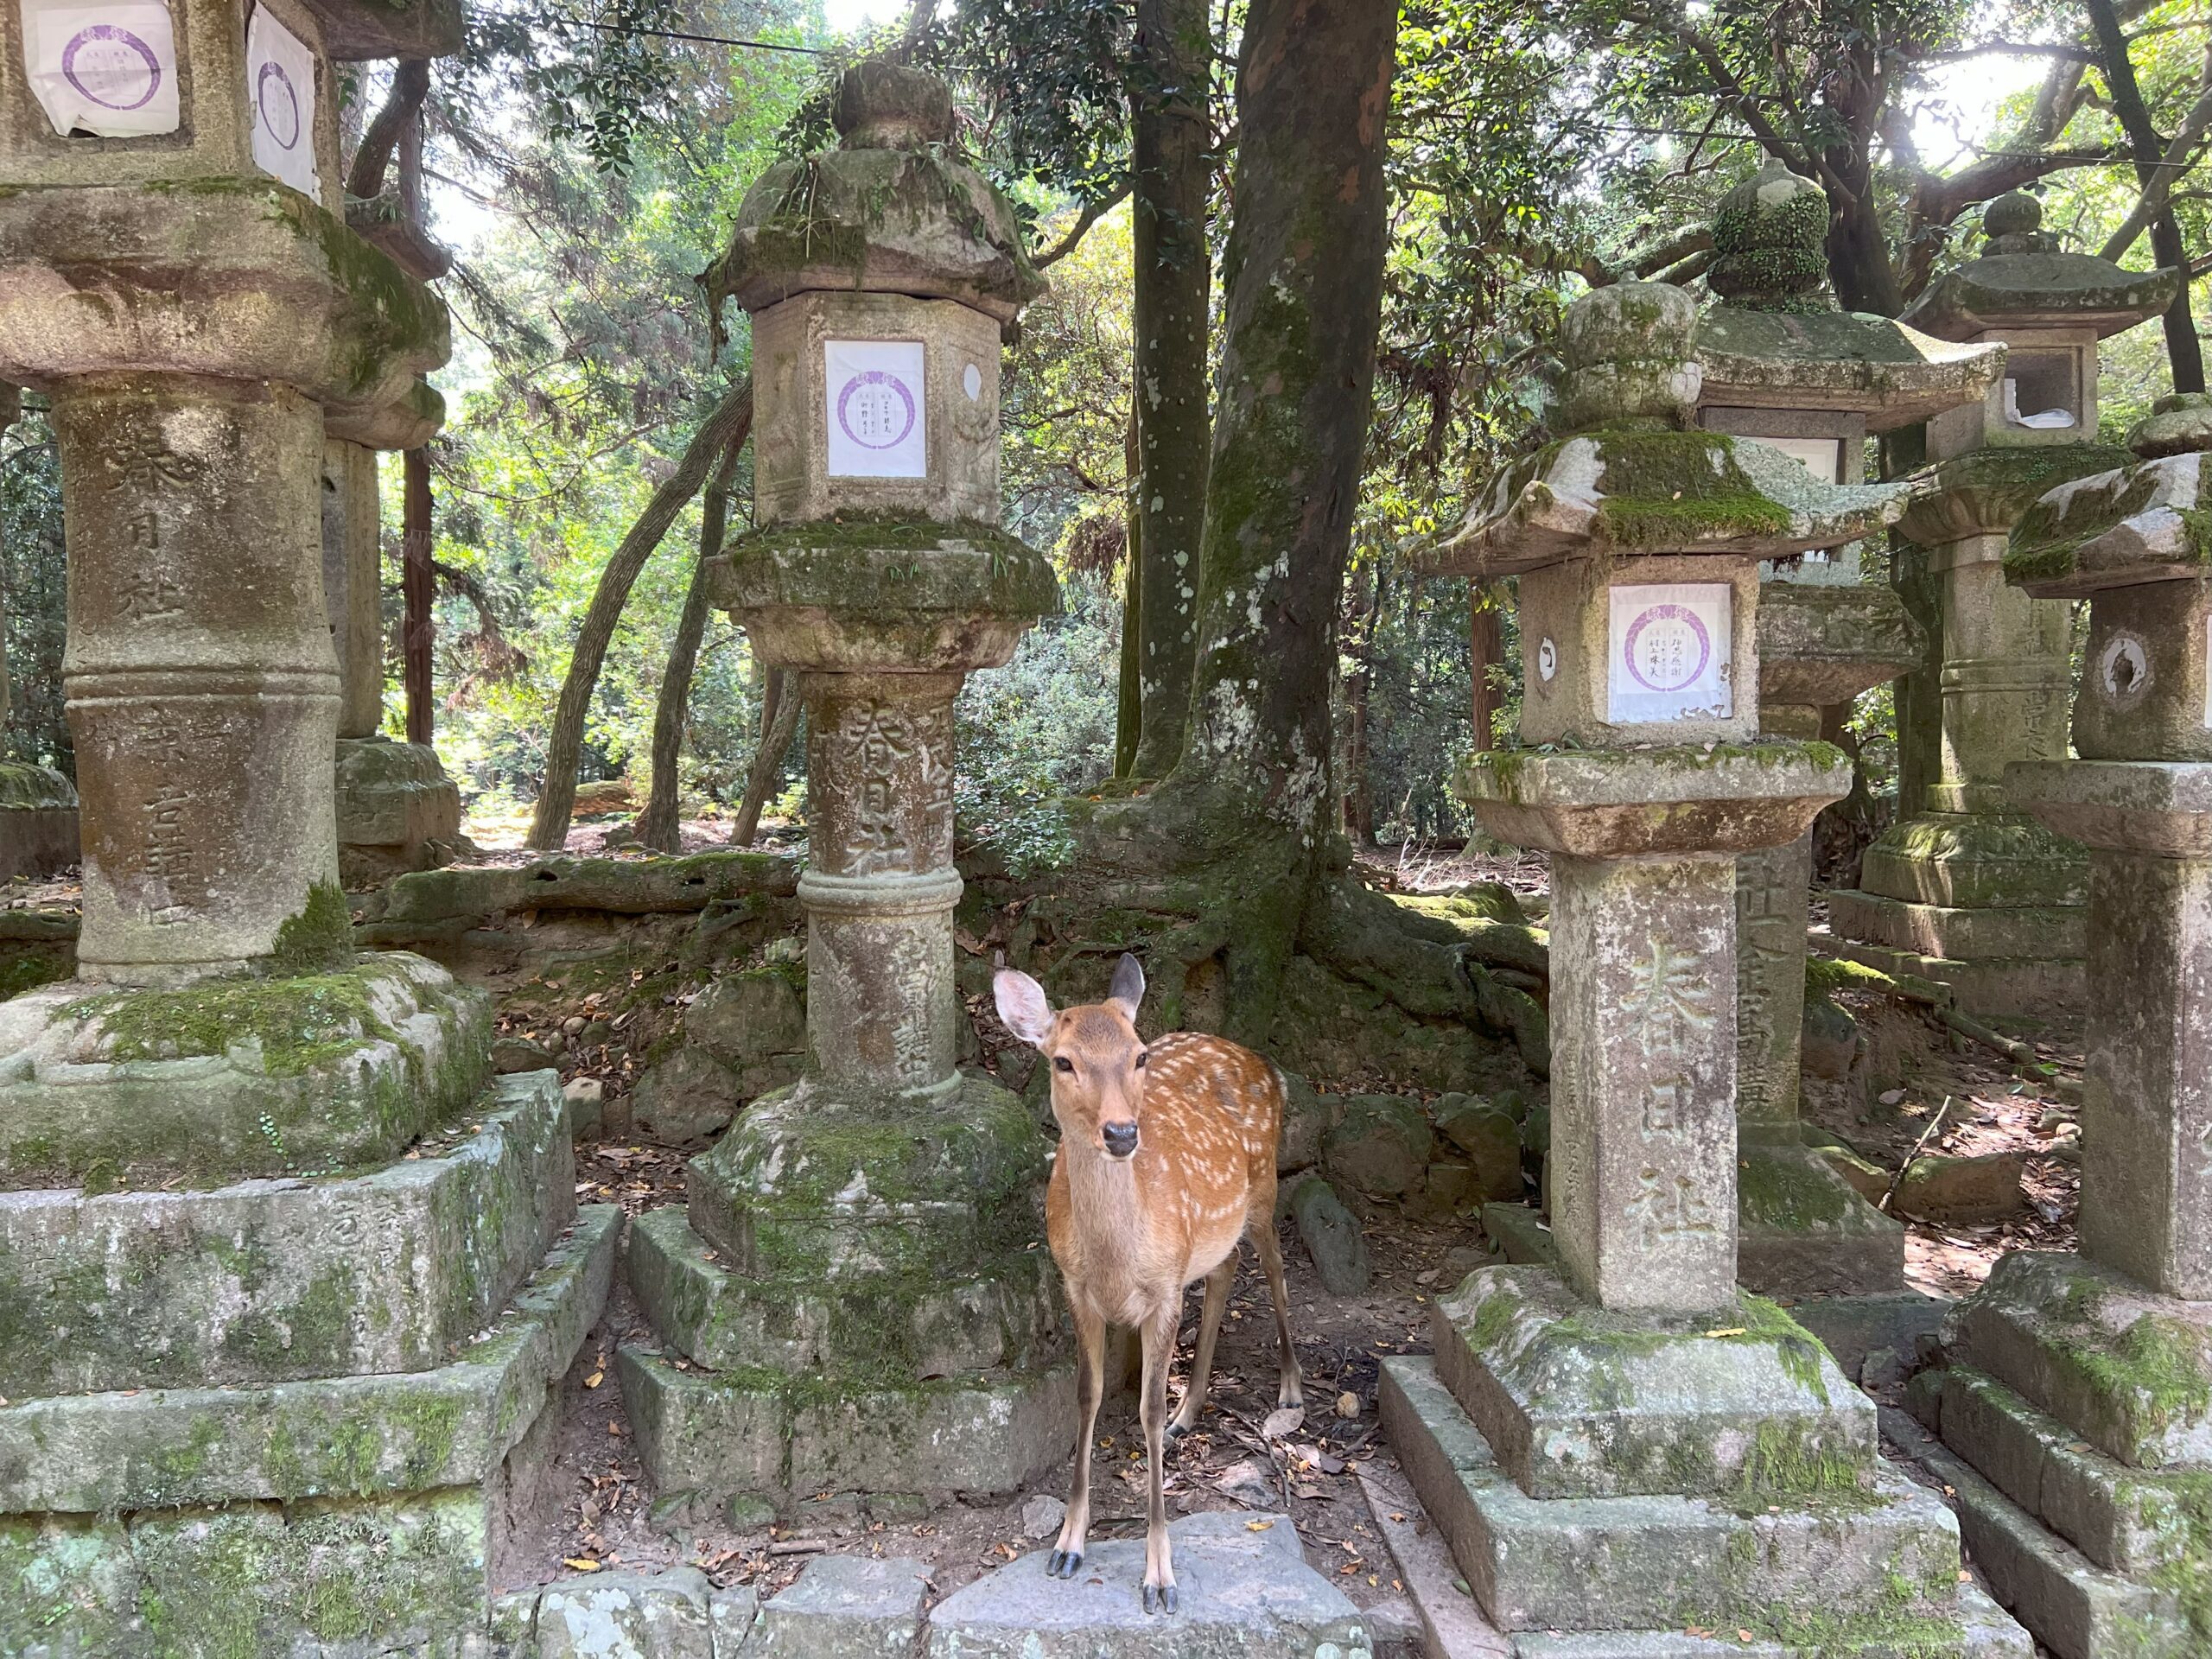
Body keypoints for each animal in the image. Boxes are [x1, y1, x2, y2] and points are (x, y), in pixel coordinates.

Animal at [990, 955, 1292, 1618]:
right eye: (1063, 1061)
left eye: (1138, 1056)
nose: (1123, 1133)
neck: (1115, 1261)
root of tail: (1264, 1063)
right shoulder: (1075, 1286)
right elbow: (1087, 1395)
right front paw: (1068, 1543)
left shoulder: (1162, 1292)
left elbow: (1146, 1411)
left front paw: (1160, 1576)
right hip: (1212, 1234)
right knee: (1229, 1266)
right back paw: (1190, 1411)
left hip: (1263, 1186)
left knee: (1277, 1268)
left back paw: (1291, 1391)